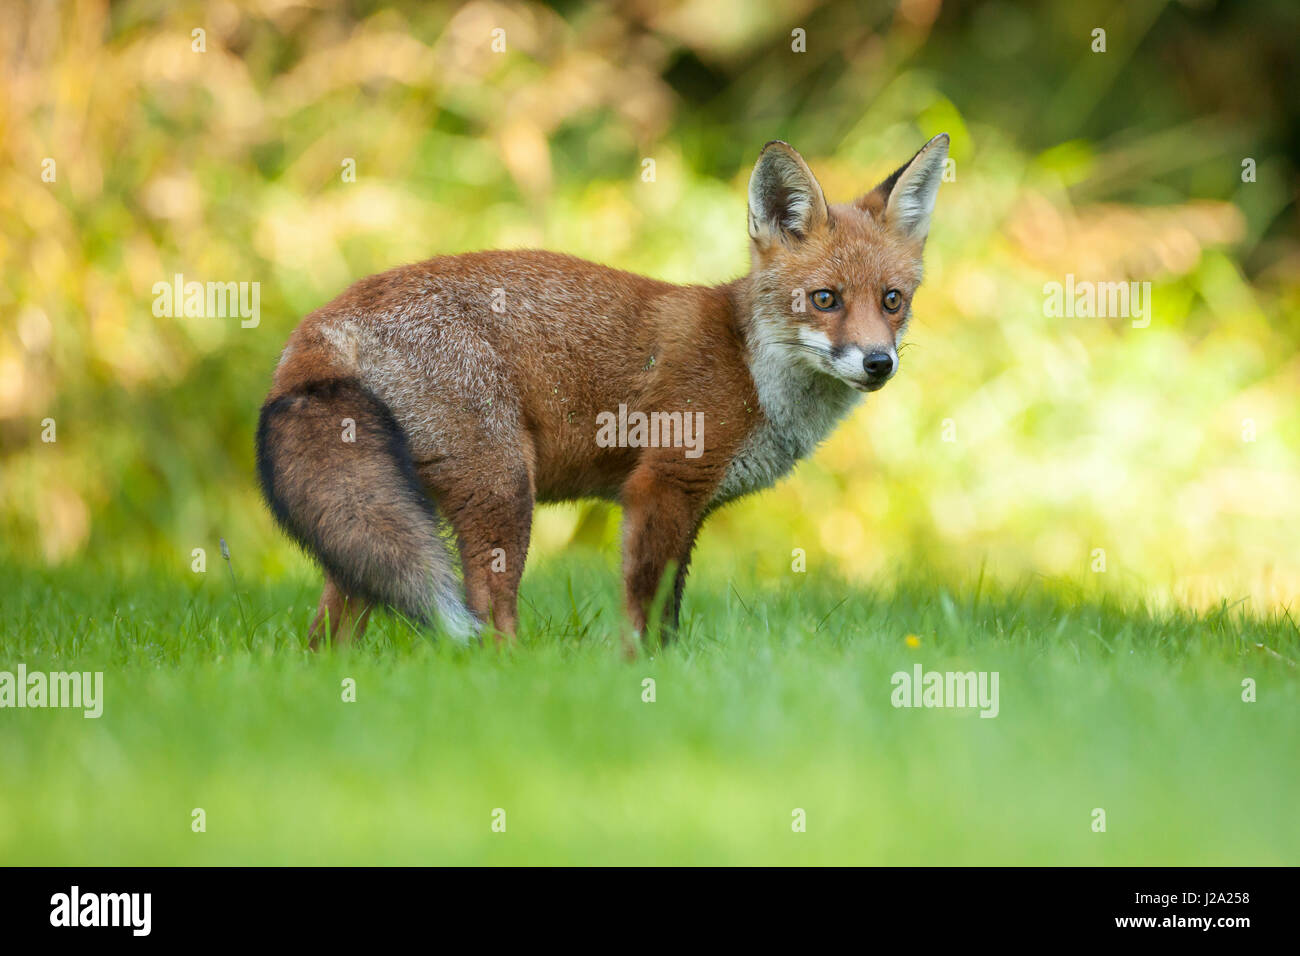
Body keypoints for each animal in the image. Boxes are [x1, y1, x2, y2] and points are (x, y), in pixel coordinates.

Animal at [256, 130, 946, 647]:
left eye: (892, 301)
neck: (749, 364)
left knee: (327, 633)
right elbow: (647, 613)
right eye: (825, 300)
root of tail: (325, 317)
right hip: (503, 491)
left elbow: (670, 612)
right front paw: (642, 676)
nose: (878, 363)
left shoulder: (690, 508)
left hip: (374, 521)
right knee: (488, 619)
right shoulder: (661, 486)